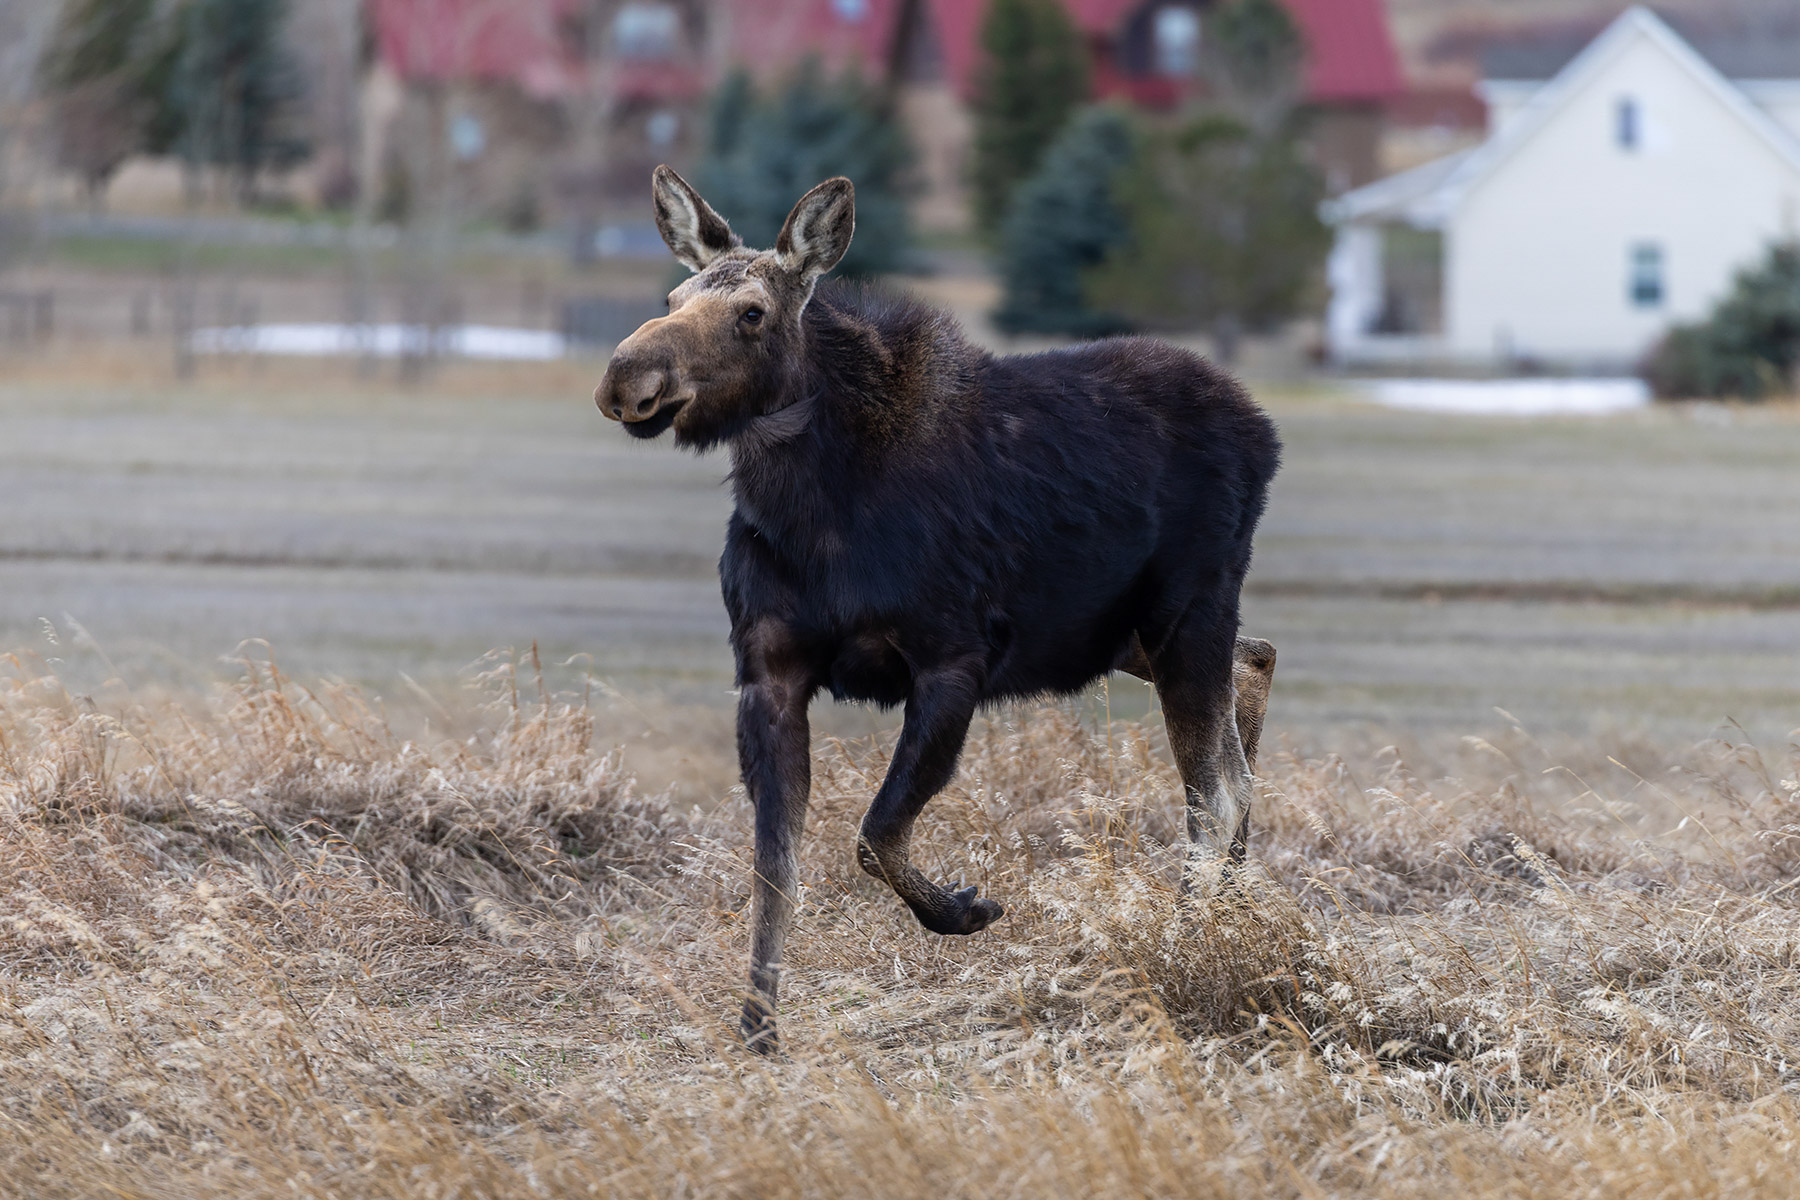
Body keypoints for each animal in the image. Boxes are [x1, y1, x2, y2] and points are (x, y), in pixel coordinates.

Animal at [595, 167, 1282, 1053]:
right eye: (673, 295)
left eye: (752, 312)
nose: (627, 377)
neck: (812, 511)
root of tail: (1263, 429)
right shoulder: (768, 674)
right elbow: (774, 867)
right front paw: (757, 1029)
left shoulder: (952, 658)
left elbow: (875, 833)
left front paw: (963, 910)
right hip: (1124, 632)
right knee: (1254, 675)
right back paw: (1227, 911)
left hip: (1186, 609)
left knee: (1218, 785)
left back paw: (1187, 941)